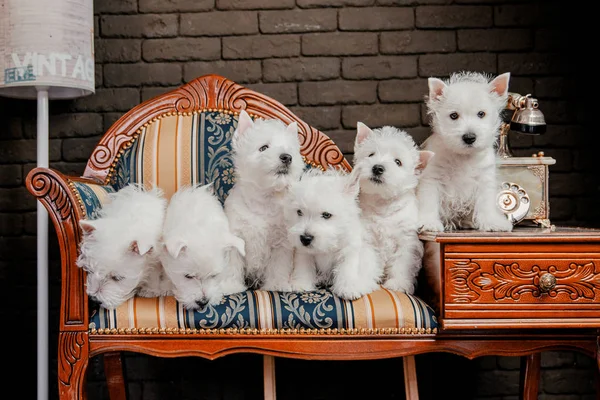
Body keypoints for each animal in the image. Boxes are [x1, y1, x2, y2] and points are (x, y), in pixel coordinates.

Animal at [223, 109, 302, 290]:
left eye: (290, 150)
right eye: (264, 148)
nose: (287, 157)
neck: (264, 200)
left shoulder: (281, 243)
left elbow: (278, 267)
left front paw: (277, 285)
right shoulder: (236, 238)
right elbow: (232, 265)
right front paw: (231, 286)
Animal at [284, 166, 380, 300]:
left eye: (326, 215)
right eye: (299, 212)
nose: (305, 238)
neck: (327, 246)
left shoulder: (349, 250)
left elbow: (347, 269)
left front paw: (348, 288)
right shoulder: (303, 252)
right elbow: (304, 266)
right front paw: (301, 284)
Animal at [354, 122, 434, 294]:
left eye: (398, 162)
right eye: (371, 154)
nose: (377, 168)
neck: (383, 204)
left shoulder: (407, 241)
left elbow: (402, 265)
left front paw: (398, 284)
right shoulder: (367, 239)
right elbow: (367, 261)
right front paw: (365, 281)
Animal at [418, 71, 510, 231]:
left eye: (481, 114)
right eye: (454, 115)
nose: (469, 138)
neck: (463, 157)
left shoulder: (485, 178)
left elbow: (486, 203)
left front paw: (492, 222)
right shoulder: (431, 177)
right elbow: (428, 200)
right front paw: (428, 223)